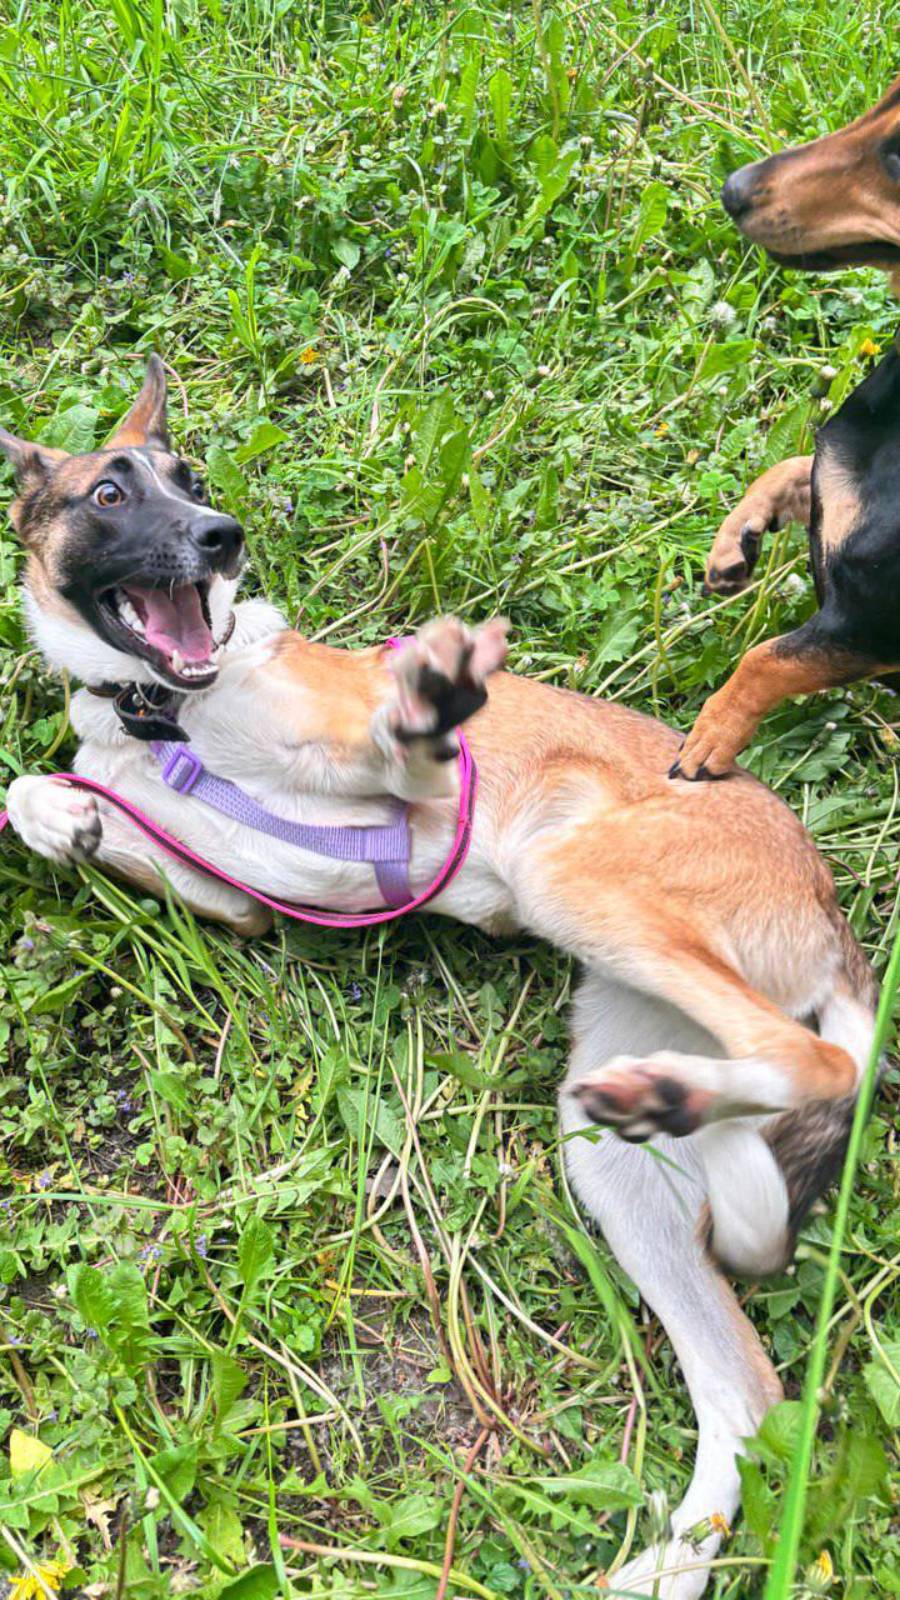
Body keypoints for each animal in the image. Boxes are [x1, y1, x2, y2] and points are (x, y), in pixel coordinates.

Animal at [2, 360, 878, 1599]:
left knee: (812, 1059)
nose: (222, 539)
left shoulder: (394, 794)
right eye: (110, 493)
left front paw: (428, 706)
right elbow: (47, 795)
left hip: (572, 879)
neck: (164, 705)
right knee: (745, 1380)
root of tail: (828, 906)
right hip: (609, 1149)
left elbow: (403, 747)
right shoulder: (237, 893)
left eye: (196, 480)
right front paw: (61, 817)